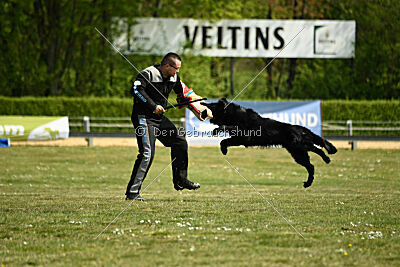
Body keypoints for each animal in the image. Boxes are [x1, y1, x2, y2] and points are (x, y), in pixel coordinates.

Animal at [202, 98, 336, 188]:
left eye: (213, 106)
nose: (203, 105)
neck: (235, 115)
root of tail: (303, 129)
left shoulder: (244, 136)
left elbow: (227, 130)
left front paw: (218, 130)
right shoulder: (239, 139)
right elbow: (224, 141)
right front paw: (224, 149)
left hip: (300, 146)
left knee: (317, 149)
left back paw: (326, 158)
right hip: (298, 153)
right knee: (311, 166)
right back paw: (308, 183)